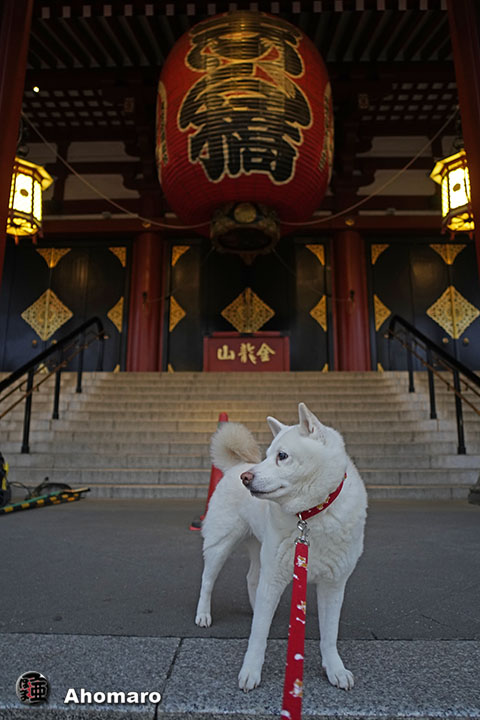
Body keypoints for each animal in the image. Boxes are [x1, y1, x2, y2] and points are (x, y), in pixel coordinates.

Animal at [195, 404, 368, 692]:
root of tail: (234, 467)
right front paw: (250, 671)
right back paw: (203, 615)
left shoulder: (334, 584)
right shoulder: (275, 574)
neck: (311, 516)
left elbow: (329, 635)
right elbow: (258, 634)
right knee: (207, 582)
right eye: (266, 456)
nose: (246, 478)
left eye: (282, 456)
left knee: (252, 579)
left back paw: (257, 607)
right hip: (221, 544)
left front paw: (335, 669)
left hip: (260, 548)